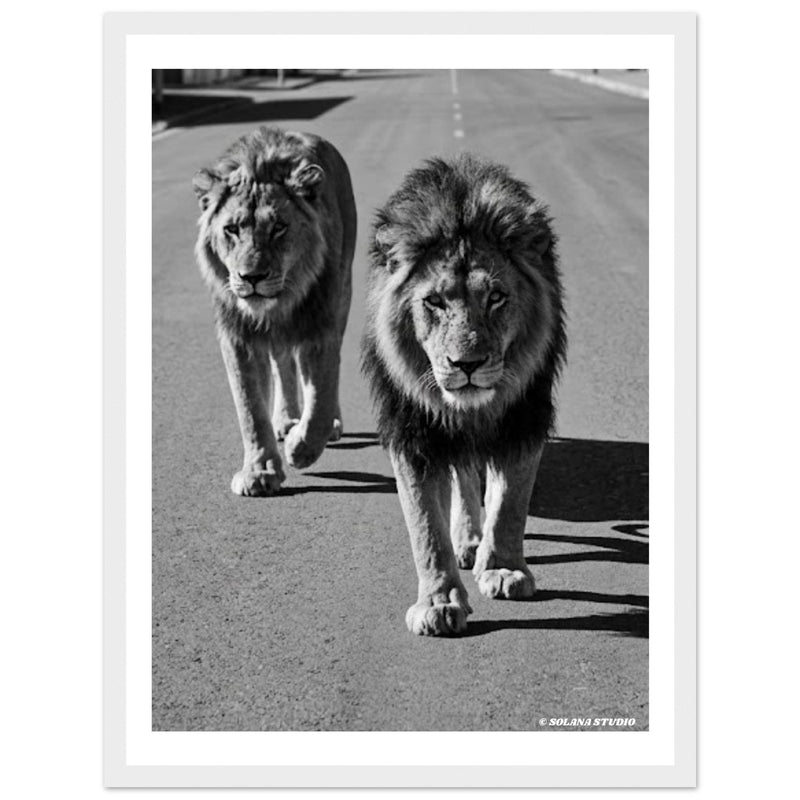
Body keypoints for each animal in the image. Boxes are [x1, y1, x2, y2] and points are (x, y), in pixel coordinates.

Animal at [193, 126, 356, 496]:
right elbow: (250, 408)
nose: (251, 277)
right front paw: (260, 471)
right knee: (283, 364)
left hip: (343, 294)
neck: (277, 307)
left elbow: (321, 398)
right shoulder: (238, 336)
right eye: (231, 229)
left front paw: (301, 448)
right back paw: (285, 419)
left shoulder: (320, 327)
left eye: (279, 227)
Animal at [361, 154, 566, 636]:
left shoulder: (524, 418)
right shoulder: (412, 433)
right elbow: (425, 527)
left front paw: (505, 569)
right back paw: (468, 538)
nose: (466, 364)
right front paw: (438, 602)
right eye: (434, 302)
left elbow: (510, 503)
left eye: (496, 297)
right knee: (463, 476)